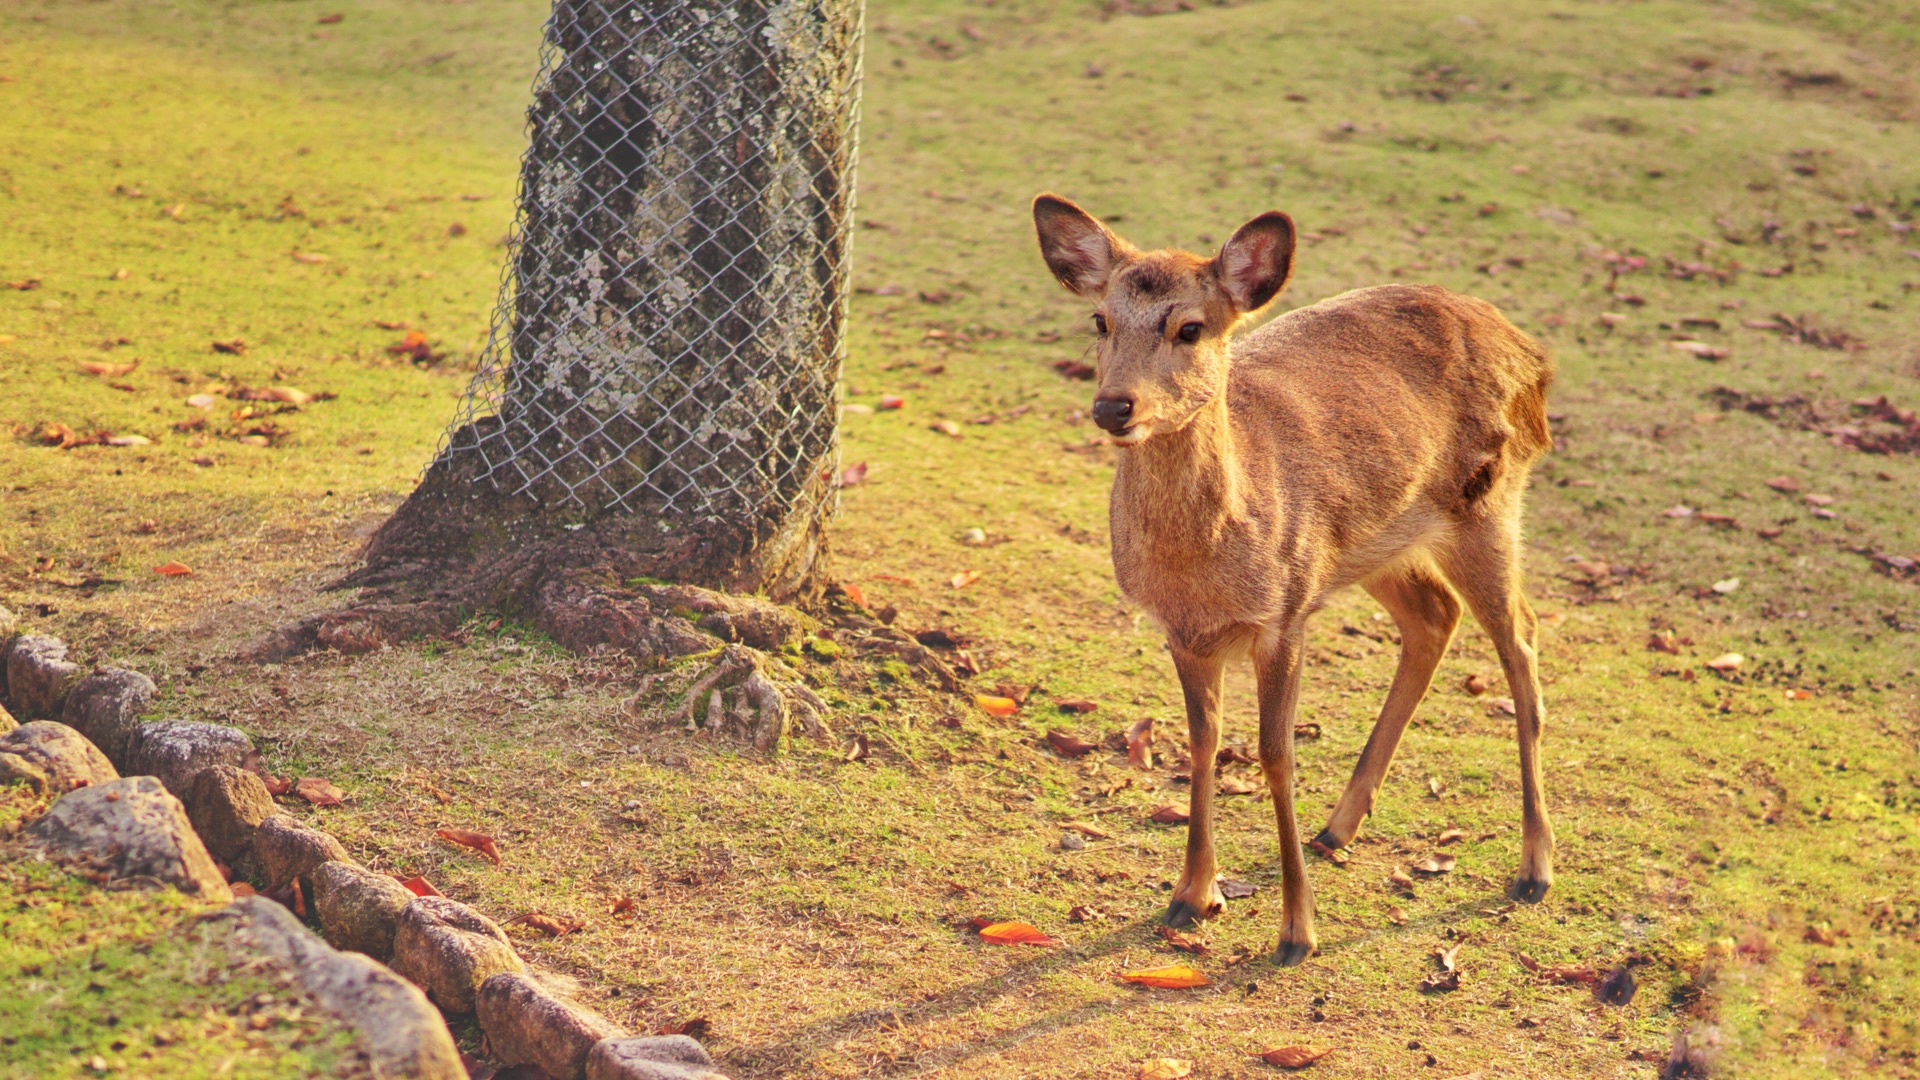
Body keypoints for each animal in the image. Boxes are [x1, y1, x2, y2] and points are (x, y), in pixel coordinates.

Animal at [1036, 195, 1559, 968]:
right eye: (1100, 320)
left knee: (1520, 636)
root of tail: (1533, 354)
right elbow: (1202, 743)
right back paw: (1338, 826)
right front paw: (1192, 895)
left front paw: (1295, 930)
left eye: (1189, 327)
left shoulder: (1283, 614)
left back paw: (1534, 868)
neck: (1202, 571)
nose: (1112, 407)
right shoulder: (1184, 631)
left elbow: (1275, 755)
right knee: (1434, 615)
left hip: (1488, 501)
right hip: (1375, 545)